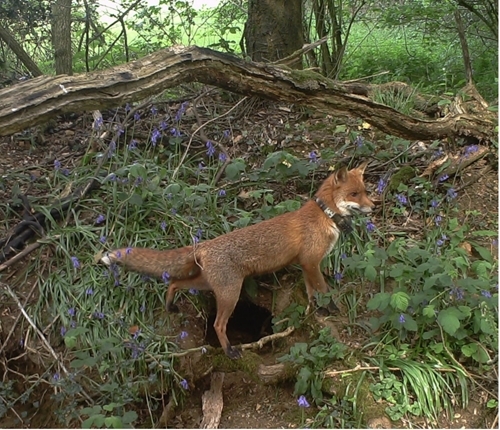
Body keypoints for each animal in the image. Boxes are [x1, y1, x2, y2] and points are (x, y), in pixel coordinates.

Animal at [101, 163, 374, 358]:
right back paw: (229, 351)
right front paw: (332, 309)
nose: (373, 207)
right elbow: (324, 290)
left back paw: (171, 305)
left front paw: (317, 311)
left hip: (210, 284)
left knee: (174, 283)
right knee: (218, 324)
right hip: (230, 294)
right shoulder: (310, 262)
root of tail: (205, 245)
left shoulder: (308, 265)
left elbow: (312, 293)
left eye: (365, 192)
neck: (324, 215)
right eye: (354, 194)